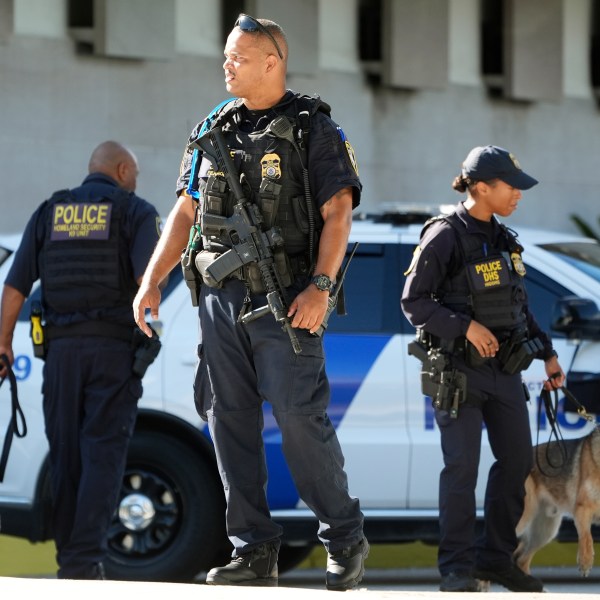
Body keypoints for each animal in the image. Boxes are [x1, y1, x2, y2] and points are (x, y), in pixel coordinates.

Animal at [512, 426, 600, 576]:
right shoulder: (582, 508)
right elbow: (587, 537)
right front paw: (585, 561)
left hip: (545, 531)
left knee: (521, 560)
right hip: (524, 519)